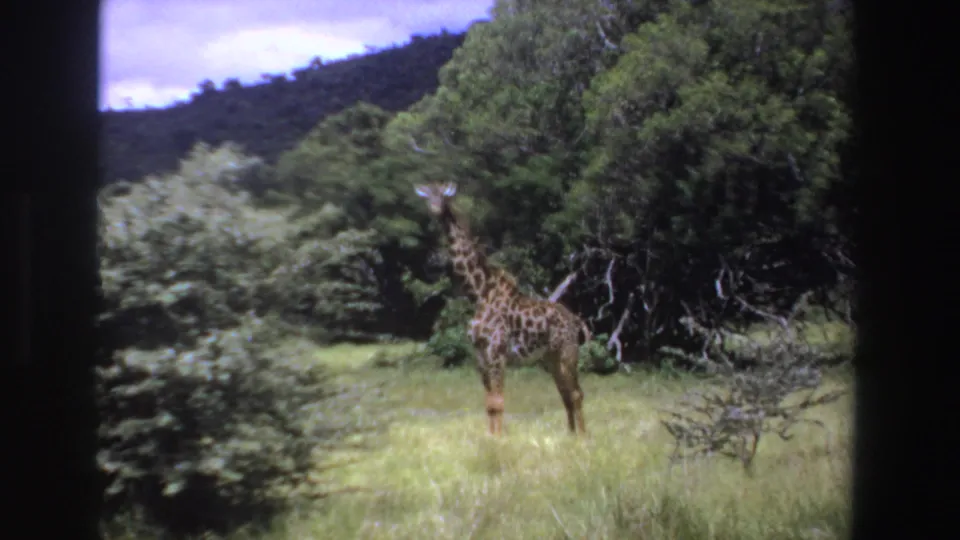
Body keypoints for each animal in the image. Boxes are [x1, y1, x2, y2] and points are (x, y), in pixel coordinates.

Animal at [414, 181, 590, 436]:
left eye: (444, 196)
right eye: (427, 196)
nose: (435, 209)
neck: (479, 293)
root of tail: (576, 321)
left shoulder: (497, 351)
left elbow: (498, 402)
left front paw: (499, 440)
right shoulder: (480, 354)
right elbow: (489, 403)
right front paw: (490, 437)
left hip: (568, 352)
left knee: (576, 393)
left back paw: (583, 438)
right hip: (551, 357)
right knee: (566, 394)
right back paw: (570, 435)